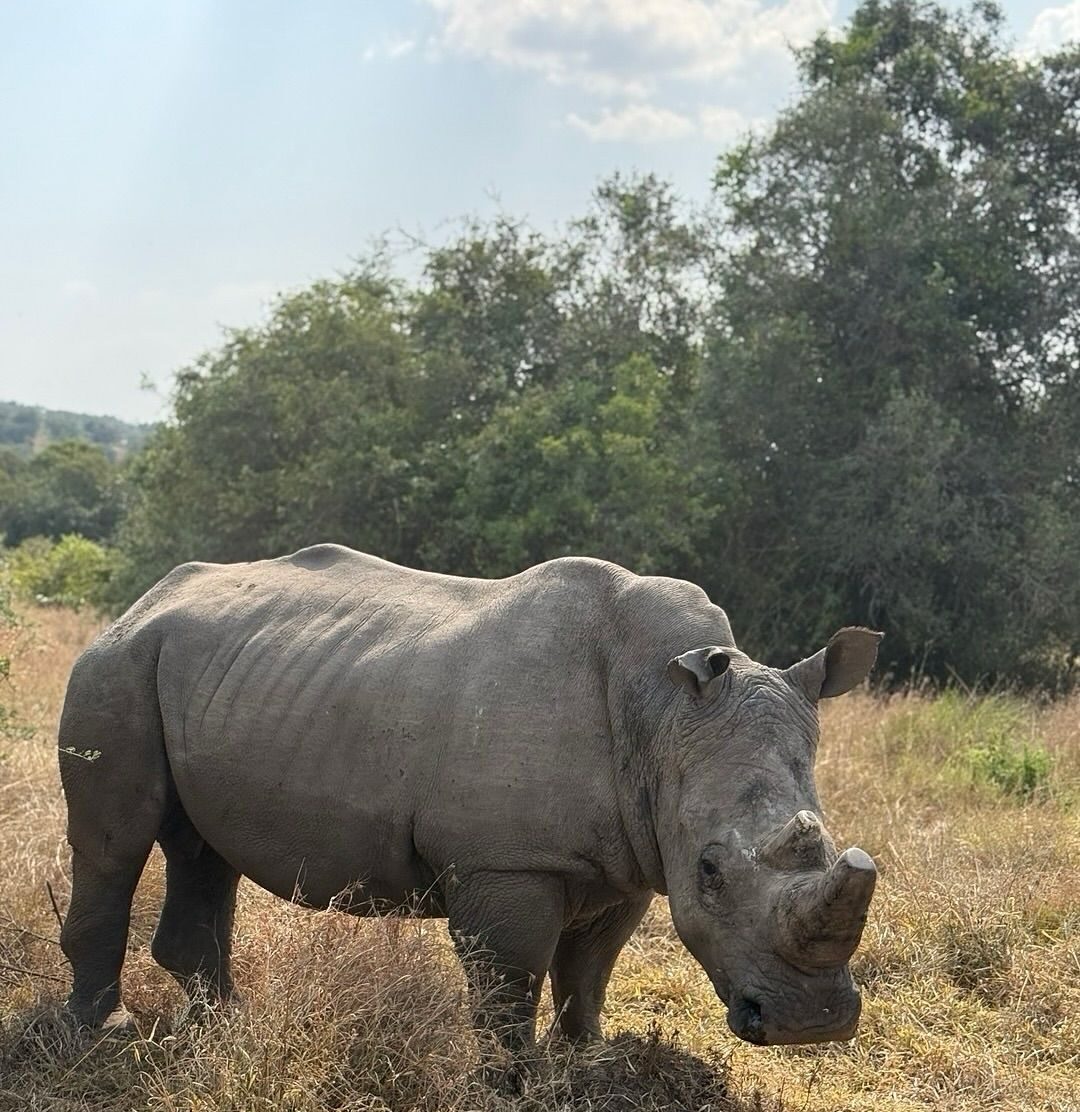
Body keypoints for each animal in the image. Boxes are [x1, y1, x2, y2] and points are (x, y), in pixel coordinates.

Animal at [58, 545, 881, 1053]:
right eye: (711, 872)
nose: (810, 1024)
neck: (662, 707)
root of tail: (146, 597)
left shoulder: (633, 855)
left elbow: (590, 970)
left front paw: (586, 1059)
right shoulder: (507, 862)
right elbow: (508, 987)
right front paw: (511, 1082)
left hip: (213, 671)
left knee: (204, 849)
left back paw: (223, 1026)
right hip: (116, 663)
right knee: (115, 844)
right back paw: (107, 1034)